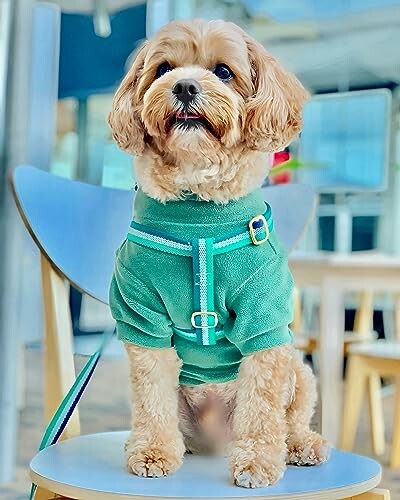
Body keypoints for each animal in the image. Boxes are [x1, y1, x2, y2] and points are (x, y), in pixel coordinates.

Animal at [108, 19, 330, 488]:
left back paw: (300, 446)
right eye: (163, 69)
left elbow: (263, 409)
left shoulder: (266, 326)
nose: (185, 86)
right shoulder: (143, 322)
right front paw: (153, 451)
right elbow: (151, 397)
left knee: (290, 419)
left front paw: (258, 463)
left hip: (300, 371)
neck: (198, 218)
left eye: (224, 72)